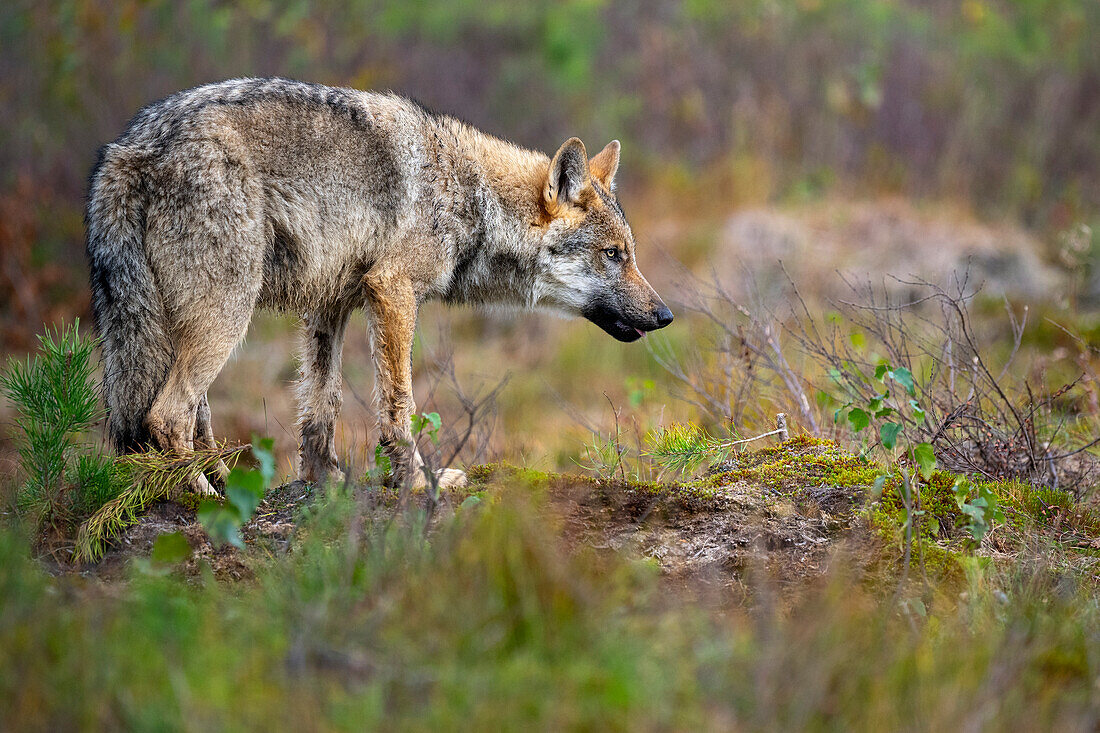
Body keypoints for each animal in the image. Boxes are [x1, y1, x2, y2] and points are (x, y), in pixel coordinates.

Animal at [83, 77, 668, 490]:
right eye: (614, 256)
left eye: (630, 254)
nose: (665, 315)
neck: (471, 196)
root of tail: (126, 150)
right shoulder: (392, 292)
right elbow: (398, 404)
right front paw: (416, 481)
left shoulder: (329, 305)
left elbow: (321, 407)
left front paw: (324, 481)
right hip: (227, 317)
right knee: (167, 415)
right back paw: (208, 497)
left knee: (189, 415)